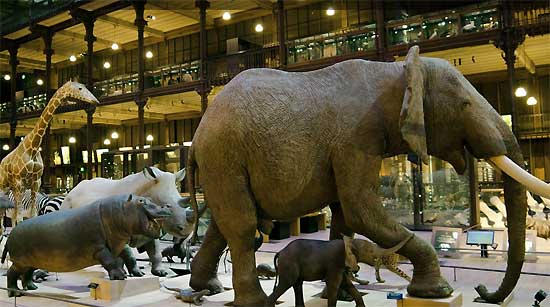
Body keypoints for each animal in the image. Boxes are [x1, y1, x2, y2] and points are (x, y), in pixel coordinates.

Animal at [0, 81, 98, 229]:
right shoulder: (19, 182)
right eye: (80, 88)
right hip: (5, 185)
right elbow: (20, 218)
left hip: (12, 189)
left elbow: (31, 215)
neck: (33, 147)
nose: (95, 100)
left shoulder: (35, 183)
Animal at [1, 195, 170, 298]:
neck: (118, 211)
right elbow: (110, 261)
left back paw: (32, 288)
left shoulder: (118, 243)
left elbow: (130, 256)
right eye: (141, 201)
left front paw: (138, 274)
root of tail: (11, 234)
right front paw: (120, 276)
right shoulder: (99, 249)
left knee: (27, 274)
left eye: (149, 199)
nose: (166, 206)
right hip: (20, 261)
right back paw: (15, 293)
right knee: (11, 273)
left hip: (31, 261)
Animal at [187, 46, 548, 307]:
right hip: (224, 156)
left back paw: (206, 287)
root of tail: (198, 133)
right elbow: (361, 210)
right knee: (243, 228)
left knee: (222, 226)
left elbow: (345, 218)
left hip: (222, 163)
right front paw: (437, 292)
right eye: (465, 104)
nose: (483, 292)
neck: (398, 71)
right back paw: (253, 301)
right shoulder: (355, 138)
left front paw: (340, 293)